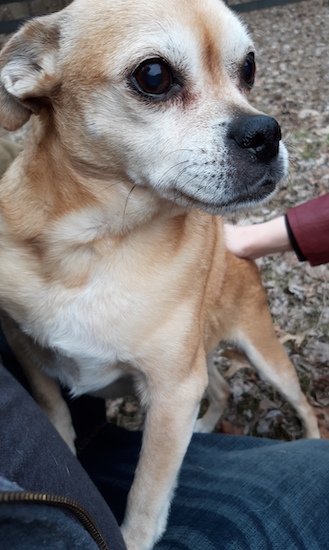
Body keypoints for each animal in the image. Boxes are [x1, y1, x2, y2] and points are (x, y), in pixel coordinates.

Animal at [0, 0, 320, 548]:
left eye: (249, 67)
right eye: (154, 76)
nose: (266, 131)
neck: (95, 248)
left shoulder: (173, 393)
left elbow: (148, 493)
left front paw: (132, 536)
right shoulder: (28, 350)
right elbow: (55, 413)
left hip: (265, 359)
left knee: (305, 406)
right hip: (203, 359)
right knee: (223, 388)